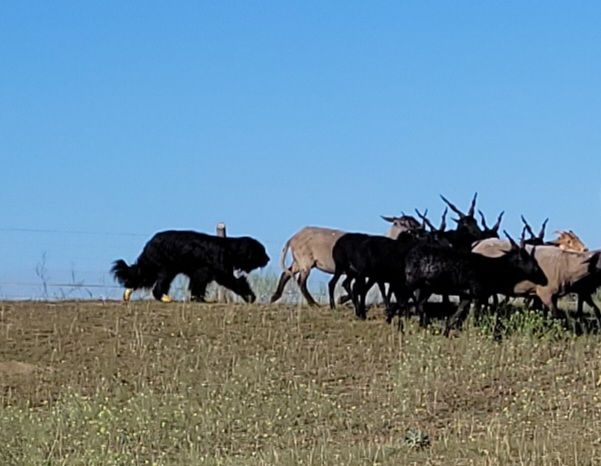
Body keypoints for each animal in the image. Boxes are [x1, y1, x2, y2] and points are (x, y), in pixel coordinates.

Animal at [113, 229, 268, 302]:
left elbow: (197, 286)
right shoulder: (219, 273)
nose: (268, 258)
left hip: (162, 268)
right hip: (165, 268)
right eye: (261, 251)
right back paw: (165, 298)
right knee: (157, 286)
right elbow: (237, 282)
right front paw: (250, 297)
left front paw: (198, 299)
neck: (229, 249)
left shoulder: (200, 274)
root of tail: (150, 242)